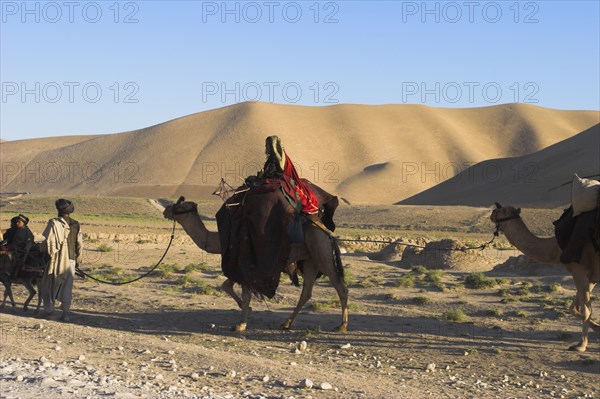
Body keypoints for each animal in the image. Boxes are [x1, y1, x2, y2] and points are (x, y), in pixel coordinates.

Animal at [164, 196, 350, 332]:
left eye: (179, 206)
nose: (166, 210)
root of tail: (327, 231)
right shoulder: (239, 266)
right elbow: (226, 285)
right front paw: (247, 311)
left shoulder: (245, 263)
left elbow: (244, 293)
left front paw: (241, 324)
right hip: (310, 259)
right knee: (306, 292)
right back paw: (286, 323)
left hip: (321, 251)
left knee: (340, 287)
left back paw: (341, 326)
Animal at [490, 205, 596, 352]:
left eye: (500, 210)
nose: (491, 213)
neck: (556, 248)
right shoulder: (591, 275)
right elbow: (576, 308)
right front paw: (596, 328)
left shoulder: (578, 269)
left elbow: (585, 311)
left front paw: (581, 345)